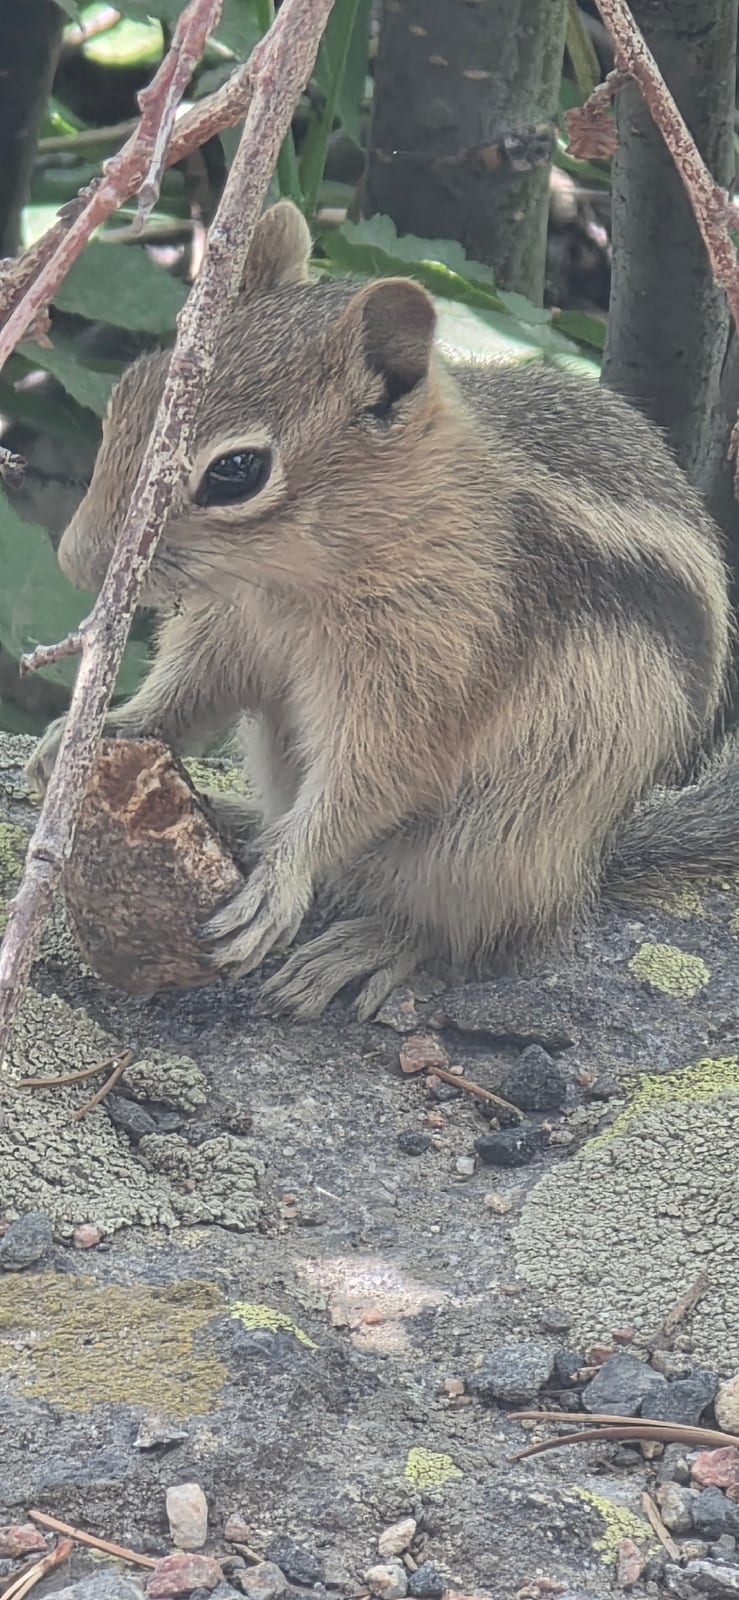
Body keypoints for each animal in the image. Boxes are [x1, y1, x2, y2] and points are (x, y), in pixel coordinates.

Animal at [25, 199, 738, 1020]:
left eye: (236, 471)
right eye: (130, 393)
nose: (77, 560)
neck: (291, 582)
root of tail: (588, 870)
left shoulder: (428, 665)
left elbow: (375, 774)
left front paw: (283, 877)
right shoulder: (230, 630)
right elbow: (192, 692)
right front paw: (94, 734)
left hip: (501, 832)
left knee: (465, 925)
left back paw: (364, 942)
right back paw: (240, 821)